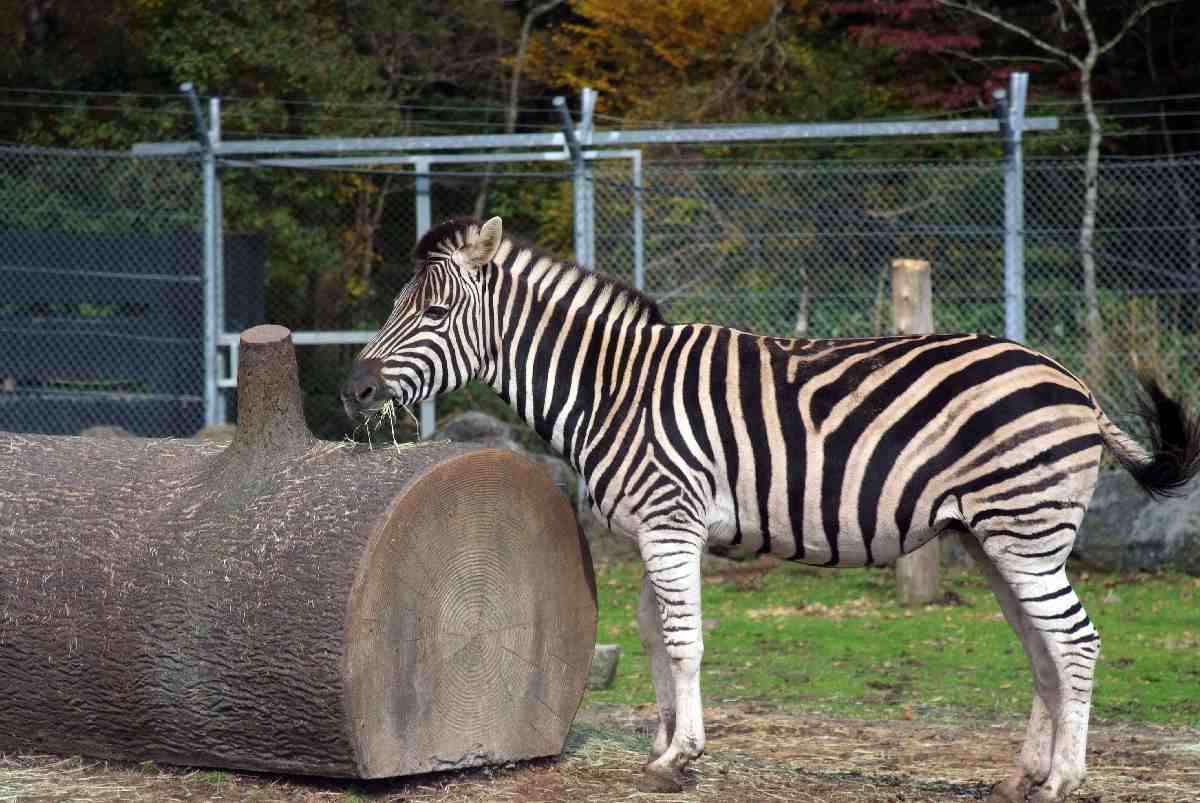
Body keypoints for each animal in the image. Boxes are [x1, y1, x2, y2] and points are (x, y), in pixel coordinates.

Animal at [340, 214, 1200, 801]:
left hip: (1026, 531)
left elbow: (683, 639)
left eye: (436, 315)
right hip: (994, 537)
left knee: (1076, 641)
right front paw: (662, 747)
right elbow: (654, 634)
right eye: (397, 305)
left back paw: (1066, 779)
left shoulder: (671, 518)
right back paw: (1027, 775)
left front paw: (681, 756)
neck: (612, 386)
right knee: (1042, 647)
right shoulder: (660, 528)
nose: (355, 390)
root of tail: (1078, 385)